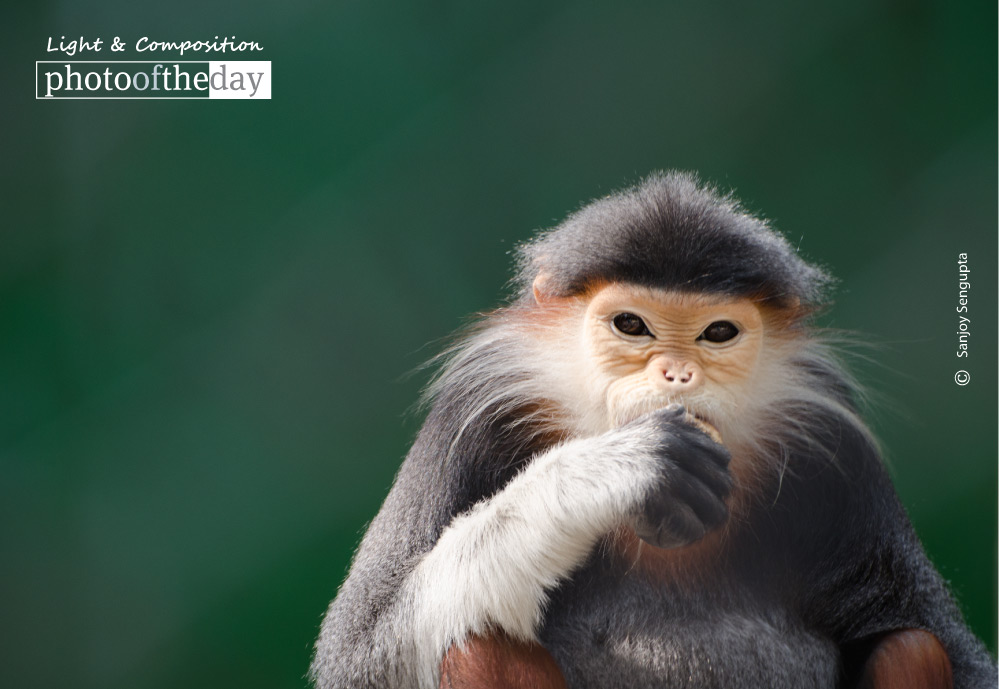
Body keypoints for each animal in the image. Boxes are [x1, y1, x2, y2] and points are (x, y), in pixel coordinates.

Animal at [308, 169, 996, 684]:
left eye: (718, 333)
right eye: (632, 325)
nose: (677, 374)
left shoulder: (841, 459)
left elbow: (960, 658)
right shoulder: (470, 418)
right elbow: (361, 651)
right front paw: (617, 468)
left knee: (913, 645)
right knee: (475, 643)